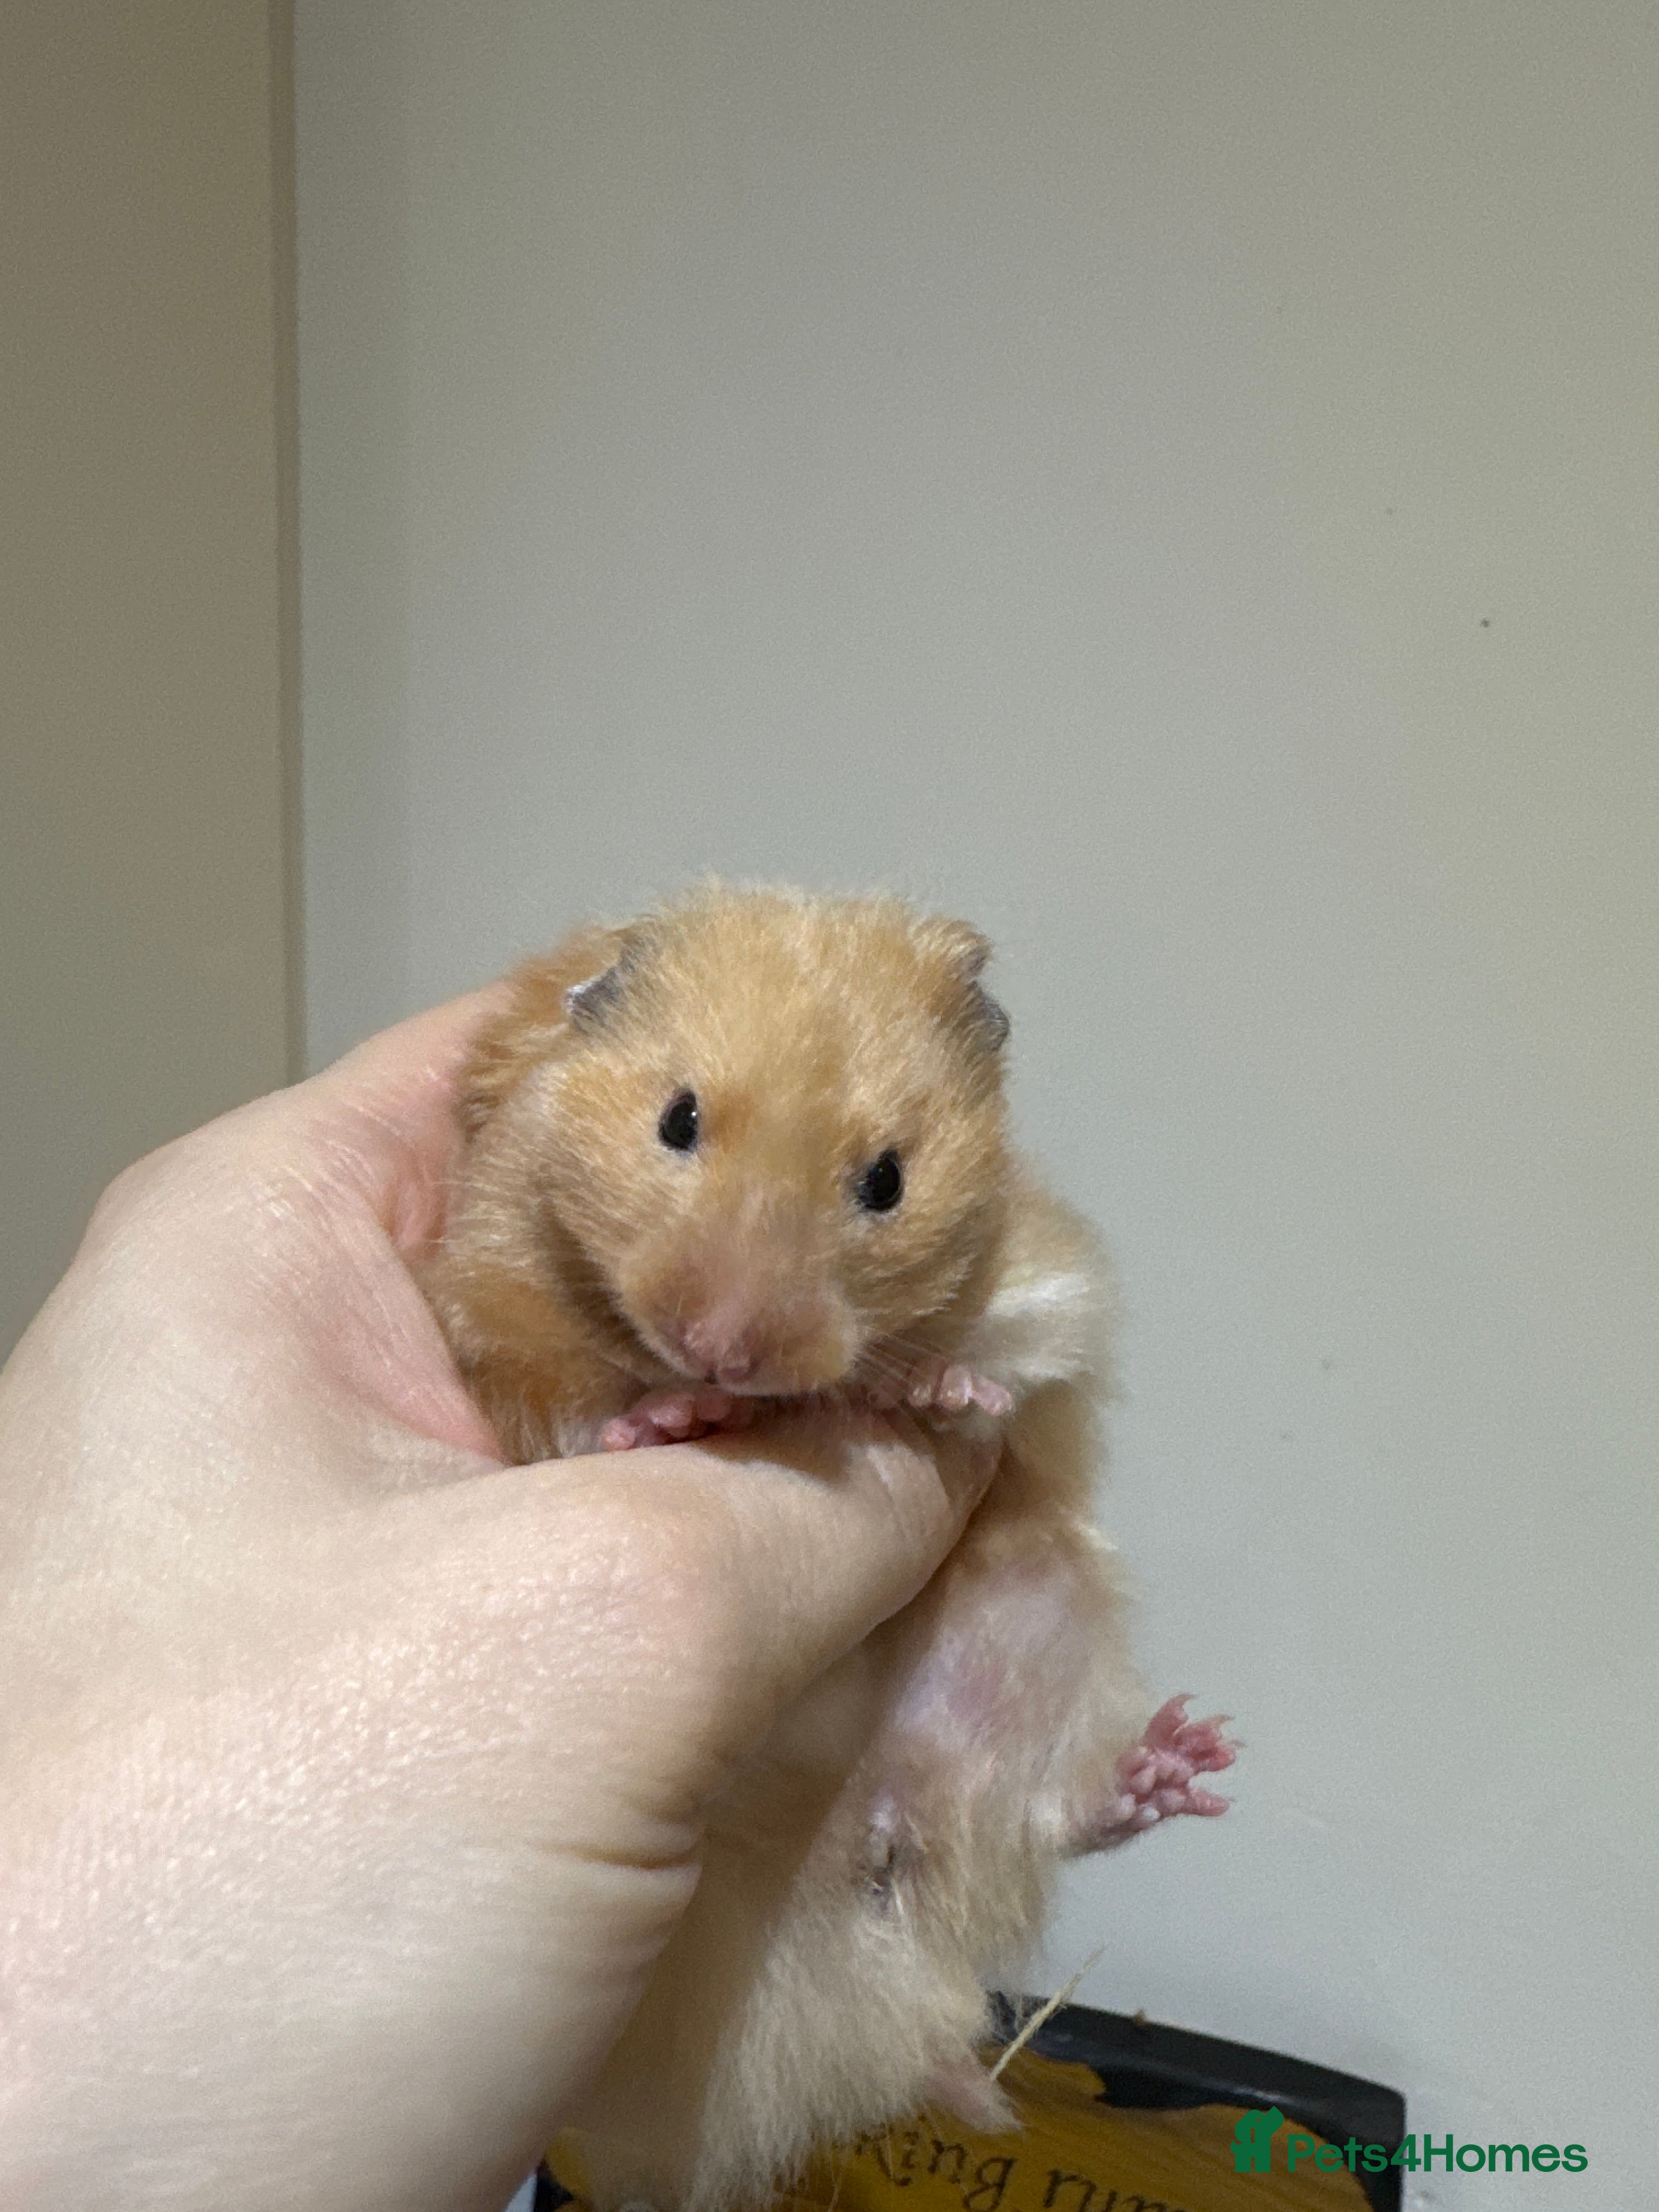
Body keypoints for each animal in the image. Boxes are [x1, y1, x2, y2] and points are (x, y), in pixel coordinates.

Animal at [422, 885, 1234, 2212]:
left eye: (888, 1181)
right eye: (677, 1119)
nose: (722, 1351)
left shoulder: (1042, 1280)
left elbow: (1009, 1361)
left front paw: (941, 1395)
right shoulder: (494, 1301)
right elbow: (568, 1404)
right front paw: (660, 1421)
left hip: (1040, 1617)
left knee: (1047, 1813)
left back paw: (1175, 1765)